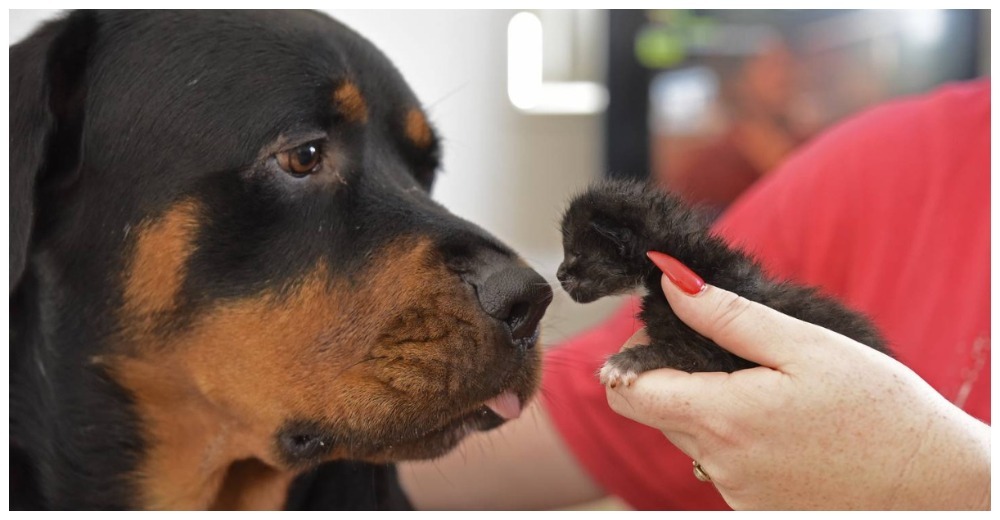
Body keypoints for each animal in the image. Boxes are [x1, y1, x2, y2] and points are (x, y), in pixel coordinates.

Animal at [556, 179, 892, 386]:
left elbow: (671, 351)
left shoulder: (715, 353)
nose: (558, 274)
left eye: (575, 253)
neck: (681, 258)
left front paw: (626, 362)